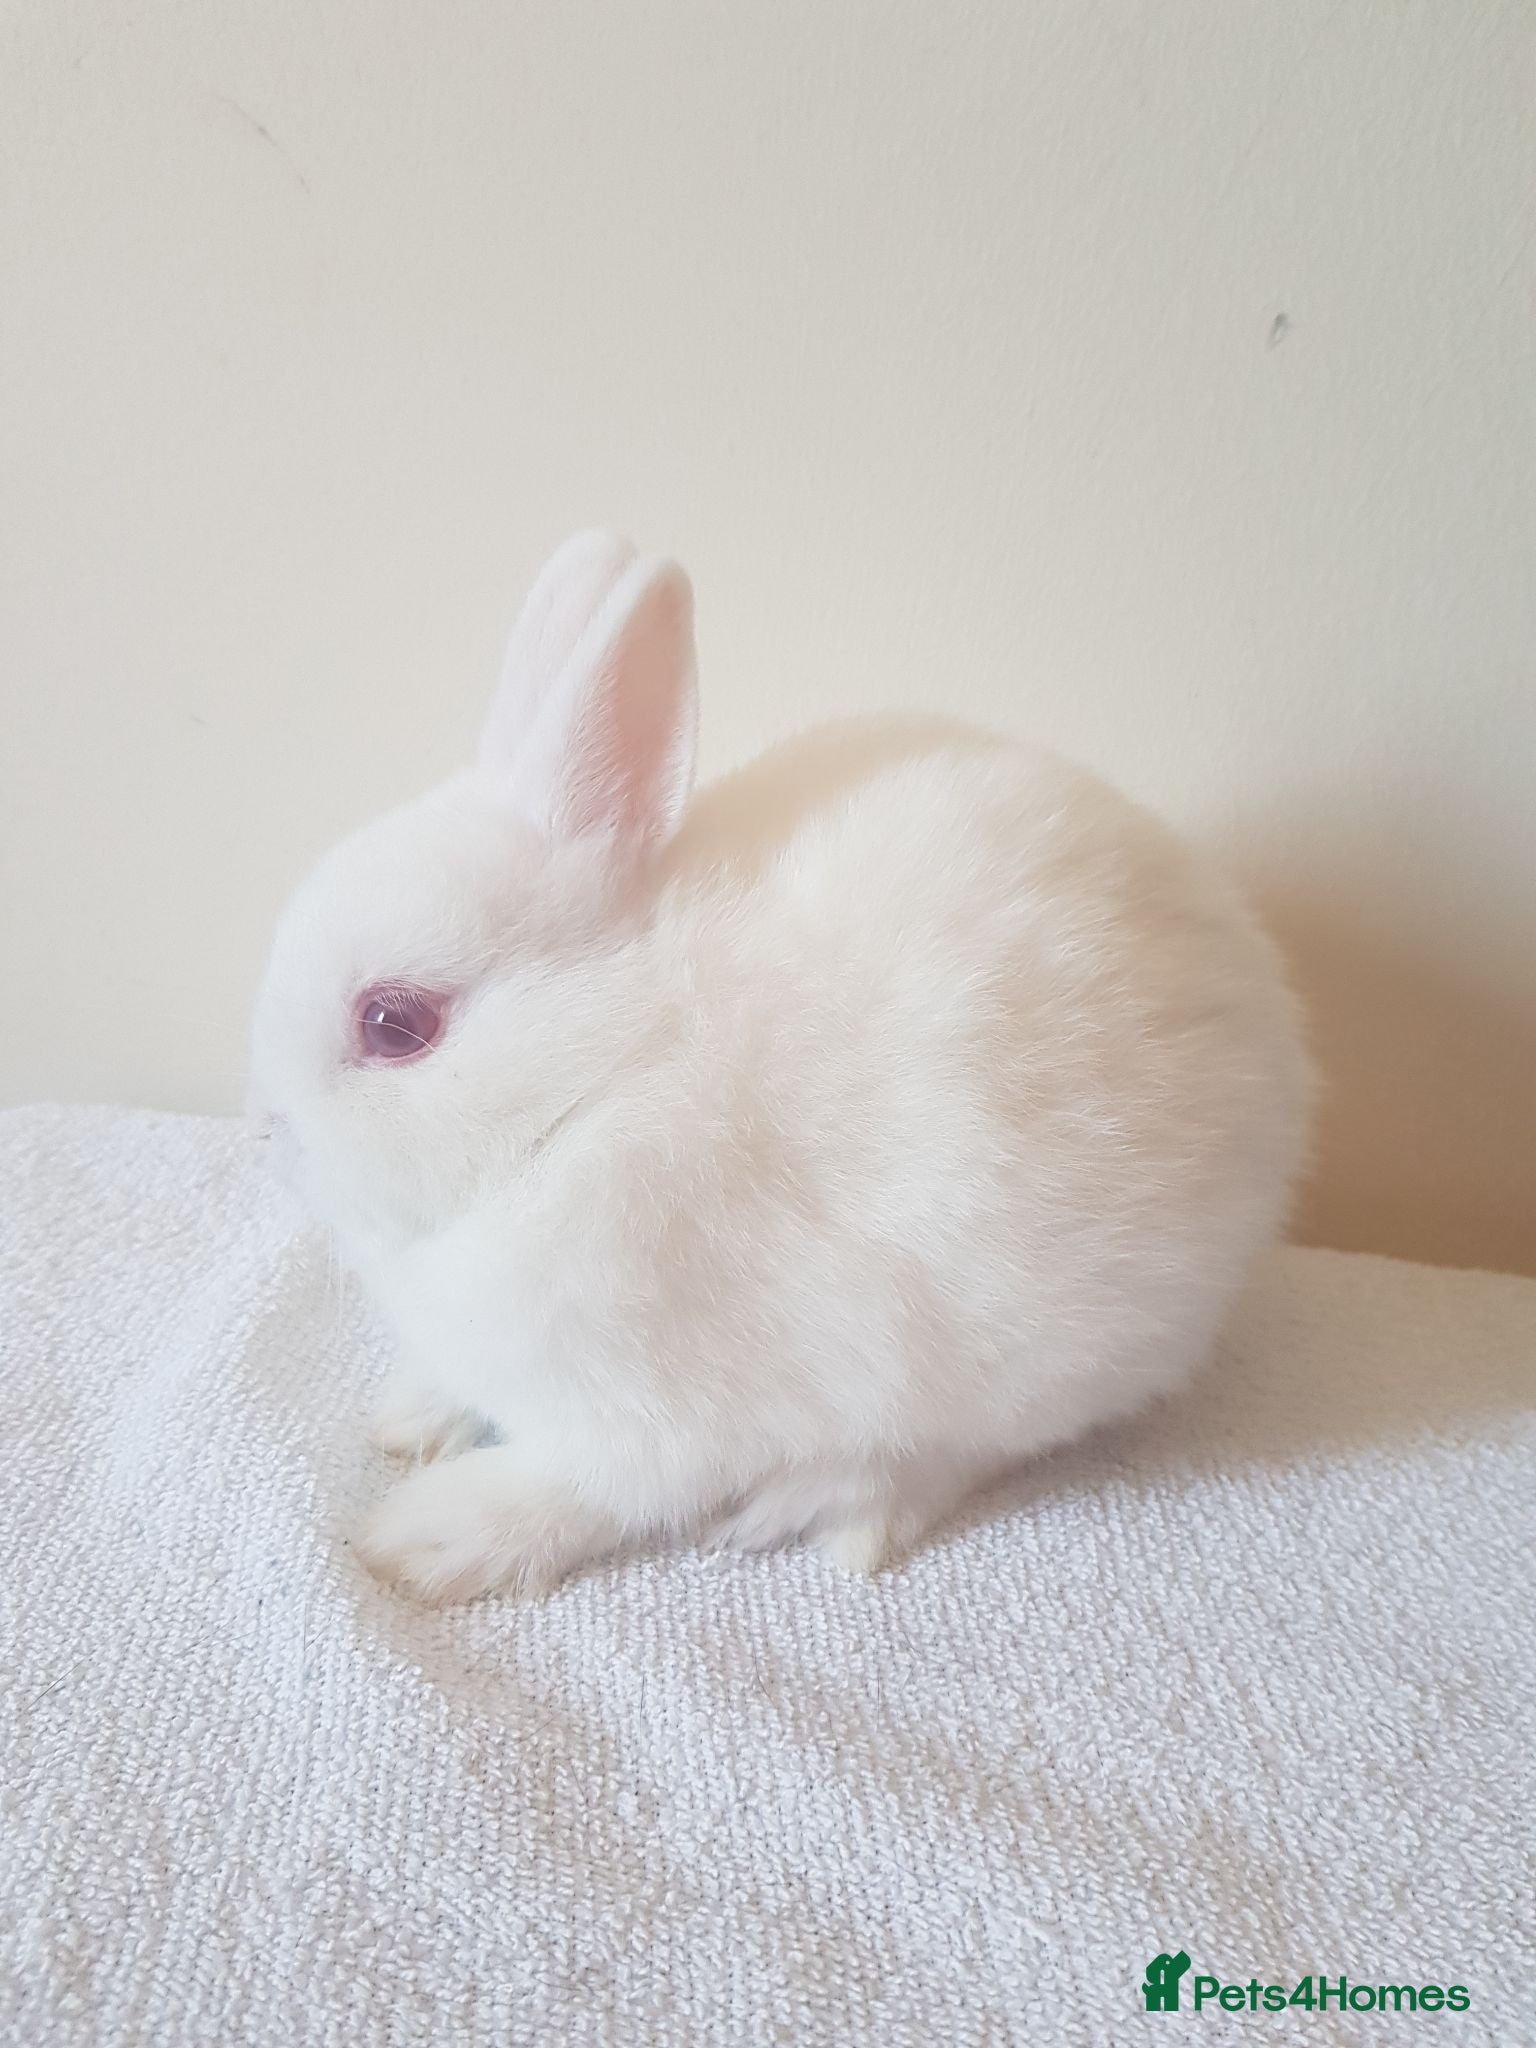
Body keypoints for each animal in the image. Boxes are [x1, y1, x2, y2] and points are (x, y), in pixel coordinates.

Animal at [249, 530, 1311, 1604]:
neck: (604, 1071)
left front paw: (423, 1540)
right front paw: (411, 1416)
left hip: (1055, 1348)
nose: (269, 1132)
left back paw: (823, 1508)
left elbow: (580, 1490)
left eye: (394, 1023)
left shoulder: (651, 1416)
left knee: (962, 1450)